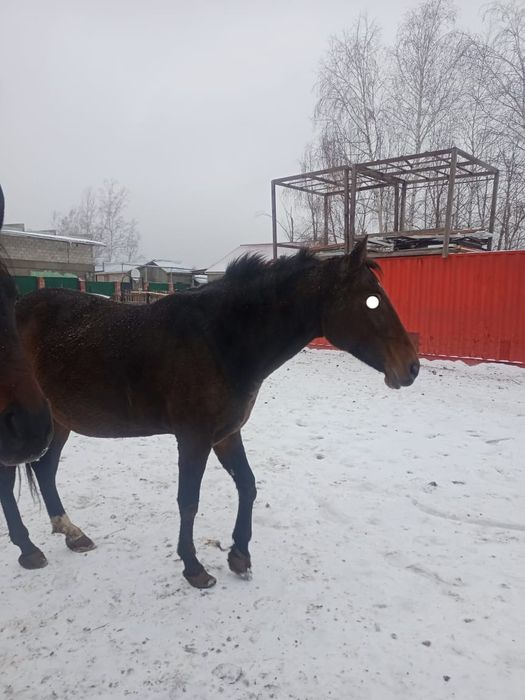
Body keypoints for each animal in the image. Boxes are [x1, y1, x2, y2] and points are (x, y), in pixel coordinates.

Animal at [2, 237, 419, 587]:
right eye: (372, 300)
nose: (411, 368)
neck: (219, 338)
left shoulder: (226, 434)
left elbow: (247, 485)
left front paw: (239, 556)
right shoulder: (194, 439)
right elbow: (189, 501)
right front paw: (194, 567)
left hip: (57, 422)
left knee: (45, 470)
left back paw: (71, 534)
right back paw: (29, 550)